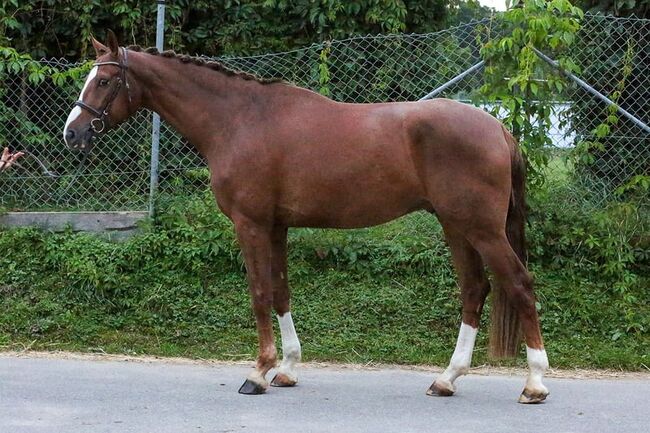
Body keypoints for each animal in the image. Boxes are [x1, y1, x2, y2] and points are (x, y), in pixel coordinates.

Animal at [62, 32, 548, 404]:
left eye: (103, 80)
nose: (72, 132)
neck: (240, 119)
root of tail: (498, 128)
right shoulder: (276, 226)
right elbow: (281, 292)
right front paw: (287, 368)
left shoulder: (251, 224)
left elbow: (259, 292)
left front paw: (257, 373)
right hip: (455, 226)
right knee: (475, 289)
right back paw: (447, 379)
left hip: (482, 229)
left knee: (519, 284)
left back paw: (535, 383)